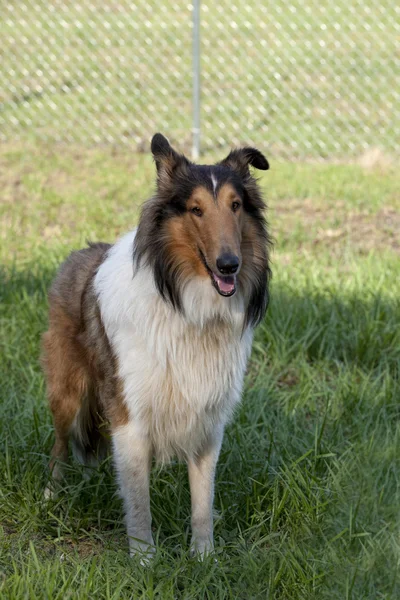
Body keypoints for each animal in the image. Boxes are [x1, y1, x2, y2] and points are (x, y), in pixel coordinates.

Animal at [42, 134, 270, 560]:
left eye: (236, 205)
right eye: (195, 209)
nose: (229, 265)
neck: (189, 305)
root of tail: (78, 253)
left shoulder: (208, 419)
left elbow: (202, 502)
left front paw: (204, 558)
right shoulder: (130, 416)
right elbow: (138, 500)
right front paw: (145, 559)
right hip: (69, 394)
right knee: (61, 445)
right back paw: (51, 496)